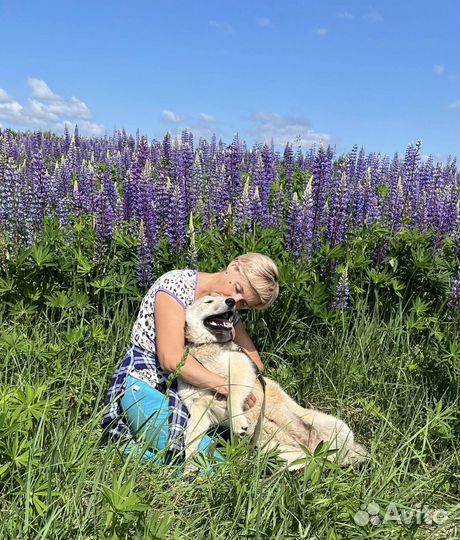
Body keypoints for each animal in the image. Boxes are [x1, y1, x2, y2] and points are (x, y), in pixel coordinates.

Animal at [178, 296, 368, 468]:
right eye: (208, 301)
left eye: (224, 297)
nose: (231, 301)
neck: (205, 347)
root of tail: (311, 447)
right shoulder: (199, 411)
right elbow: (191, 442)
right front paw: (189, 469)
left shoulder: (242, 371)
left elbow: (232, 395)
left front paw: (237, 422)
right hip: (273, 450)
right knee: (305, 460)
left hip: (337, 426)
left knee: (335, 457)